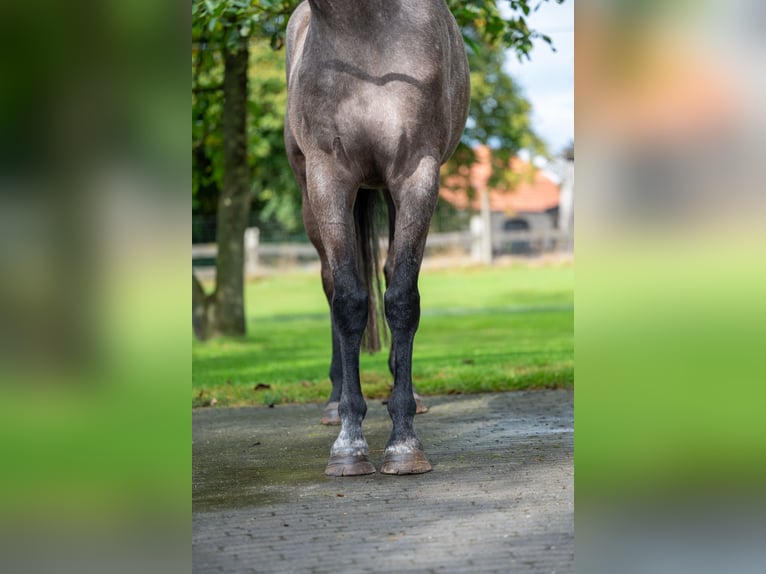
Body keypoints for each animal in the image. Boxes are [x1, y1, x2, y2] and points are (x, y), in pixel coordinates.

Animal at [284, 0, 472, 476]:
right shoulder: (328, 177)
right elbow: (348, 301)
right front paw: (349, 443)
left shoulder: (416, 173)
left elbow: (402, 298)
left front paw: (404, 442)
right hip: (311, 195)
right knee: (331, 283)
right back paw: (333, 403)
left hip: (389, 189)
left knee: (387, 273)